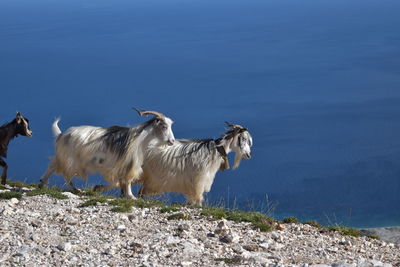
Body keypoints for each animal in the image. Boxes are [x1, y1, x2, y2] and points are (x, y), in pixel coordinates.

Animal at [39, 109, 175, 199]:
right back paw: (72, 189)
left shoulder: (118, 167)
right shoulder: (122, 166)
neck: (140, 139)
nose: (172, 141)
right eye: (163, 126)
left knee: (55, 168)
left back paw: (45, 184)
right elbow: (125, 181)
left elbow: (118, 183)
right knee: (63, 173)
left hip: (65, 158)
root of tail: (61, 135)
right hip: (71, 160)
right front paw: (131, 197)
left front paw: (98, 188)